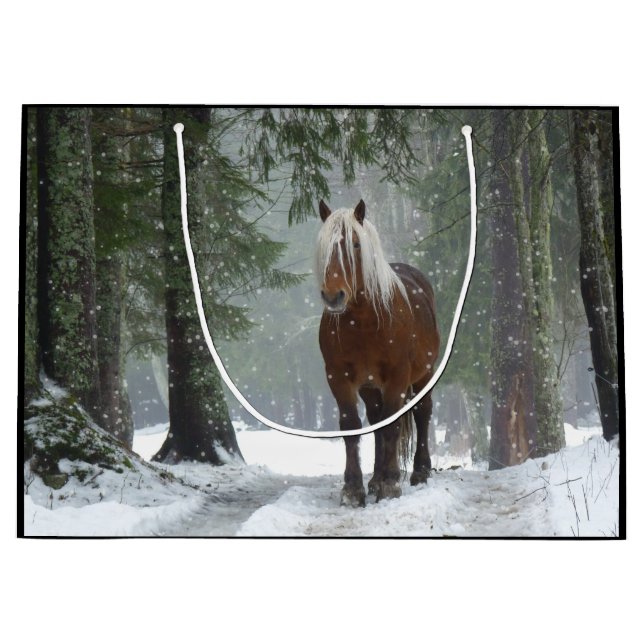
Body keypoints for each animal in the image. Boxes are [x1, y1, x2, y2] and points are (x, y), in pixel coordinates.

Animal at [316, 199, 440, 507]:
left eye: (355, 244)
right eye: (324, 247)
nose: (333, 296)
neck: (364, 322)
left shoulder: (398, 377)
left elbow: (394, 425)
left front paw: (391, 484)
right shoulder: (338, 377)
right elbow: (352, 426)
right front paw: (353, 488)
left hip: (424, 375)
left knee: (422, 412)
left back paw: (419, 472)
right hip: (370, 387)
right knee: (376, 422)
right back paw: (375, 479)